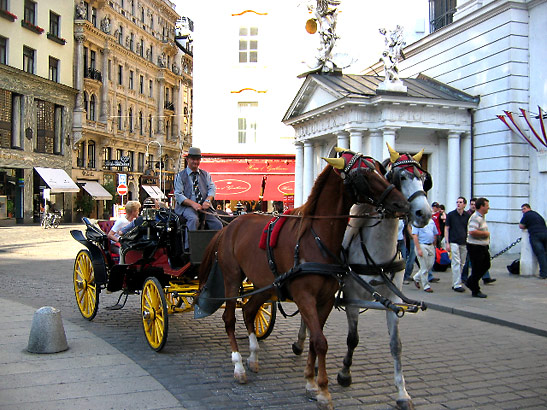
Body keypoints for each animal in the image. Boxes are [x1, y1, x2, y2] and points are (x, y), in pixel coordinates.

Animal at [199, 152, 408, 408]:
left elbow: (314, 341)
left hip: (263, 284)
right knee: (229, 318)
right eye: (363, 173)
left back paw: (254, 355)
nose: (402, 204)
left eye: (381, 170)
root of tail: (230, 226)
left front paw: (311, 382)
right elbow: (319, 341)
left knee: (248, 311)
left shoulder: (325, 300)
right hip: (231, 277)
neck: (316, 239)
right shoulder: (304, 297)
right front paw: (323, 390)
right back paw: (238, 365)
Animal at [294, 145, 430, 410]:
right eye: (400, 177)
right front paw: (344, 373)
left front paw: (402, 392)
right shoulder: (352, 297)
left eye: (423, 178)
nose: (423, 213)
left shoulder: (392, 301)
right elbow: (352, 338)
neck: (377, 253)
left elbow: (396, 345)